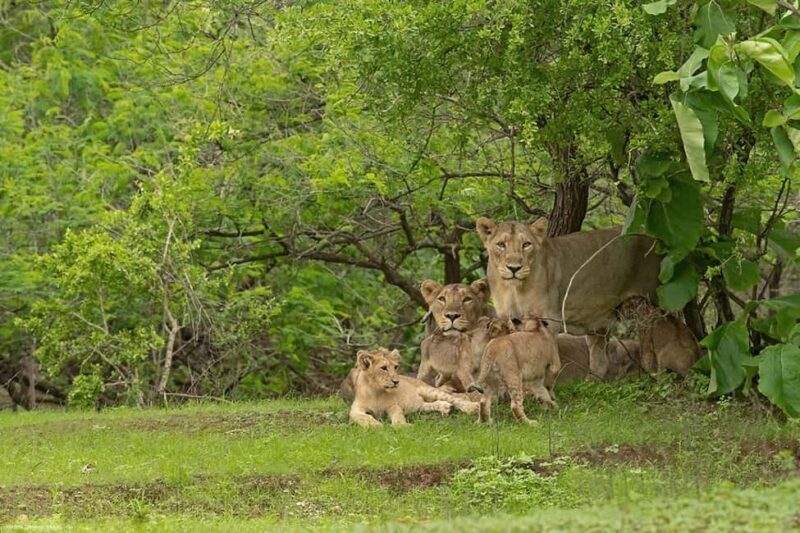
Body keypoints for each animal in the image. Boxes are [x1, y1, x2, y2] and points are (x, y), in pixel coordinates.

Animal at [349, 348, 480, 427]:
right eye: (383, 368)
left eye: (395, 367)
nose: (396, 381)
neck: (376, 391)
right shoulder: (355, 410)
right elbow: (361, 417)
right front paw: (376, 425)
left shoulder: (393, 406)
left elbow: (397, 416)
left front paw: (403, 426)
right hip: (419, 405)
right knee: (427, 404)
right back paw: (445, 407)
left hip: (429, 391)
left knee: (458, 398)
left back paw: (473, 407)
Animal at [475, 216, 661, 379]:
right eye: (501, 245)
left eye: (526, 244)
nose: (514, 268)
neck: (513, 289)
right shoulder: (509, 320)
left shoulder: (548, 320)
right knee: (600, 360)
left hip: (651, 299)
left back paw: (653, 372)